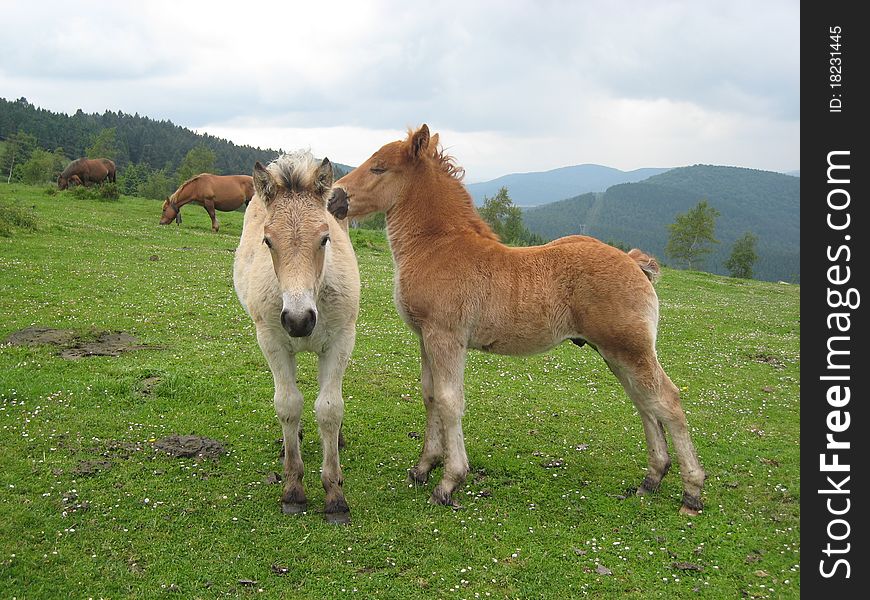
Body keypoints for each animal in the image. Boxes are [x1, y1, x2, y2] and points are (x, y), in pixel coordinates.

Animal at [328, 123, 708, 516]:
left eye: (378, 167)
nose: (333, 197)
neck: (438, 247)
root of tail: (634, 263)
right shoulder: (425, 337)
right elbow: (430, 395)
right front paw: (423, 468)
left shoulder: (446, 336)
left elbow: (450, 401)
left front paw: (448, 482)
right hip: (616, 353)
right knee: (644, 402)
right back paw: (652, 478)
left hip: (630, 348)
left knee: (668, 401)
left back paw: (692, 492)